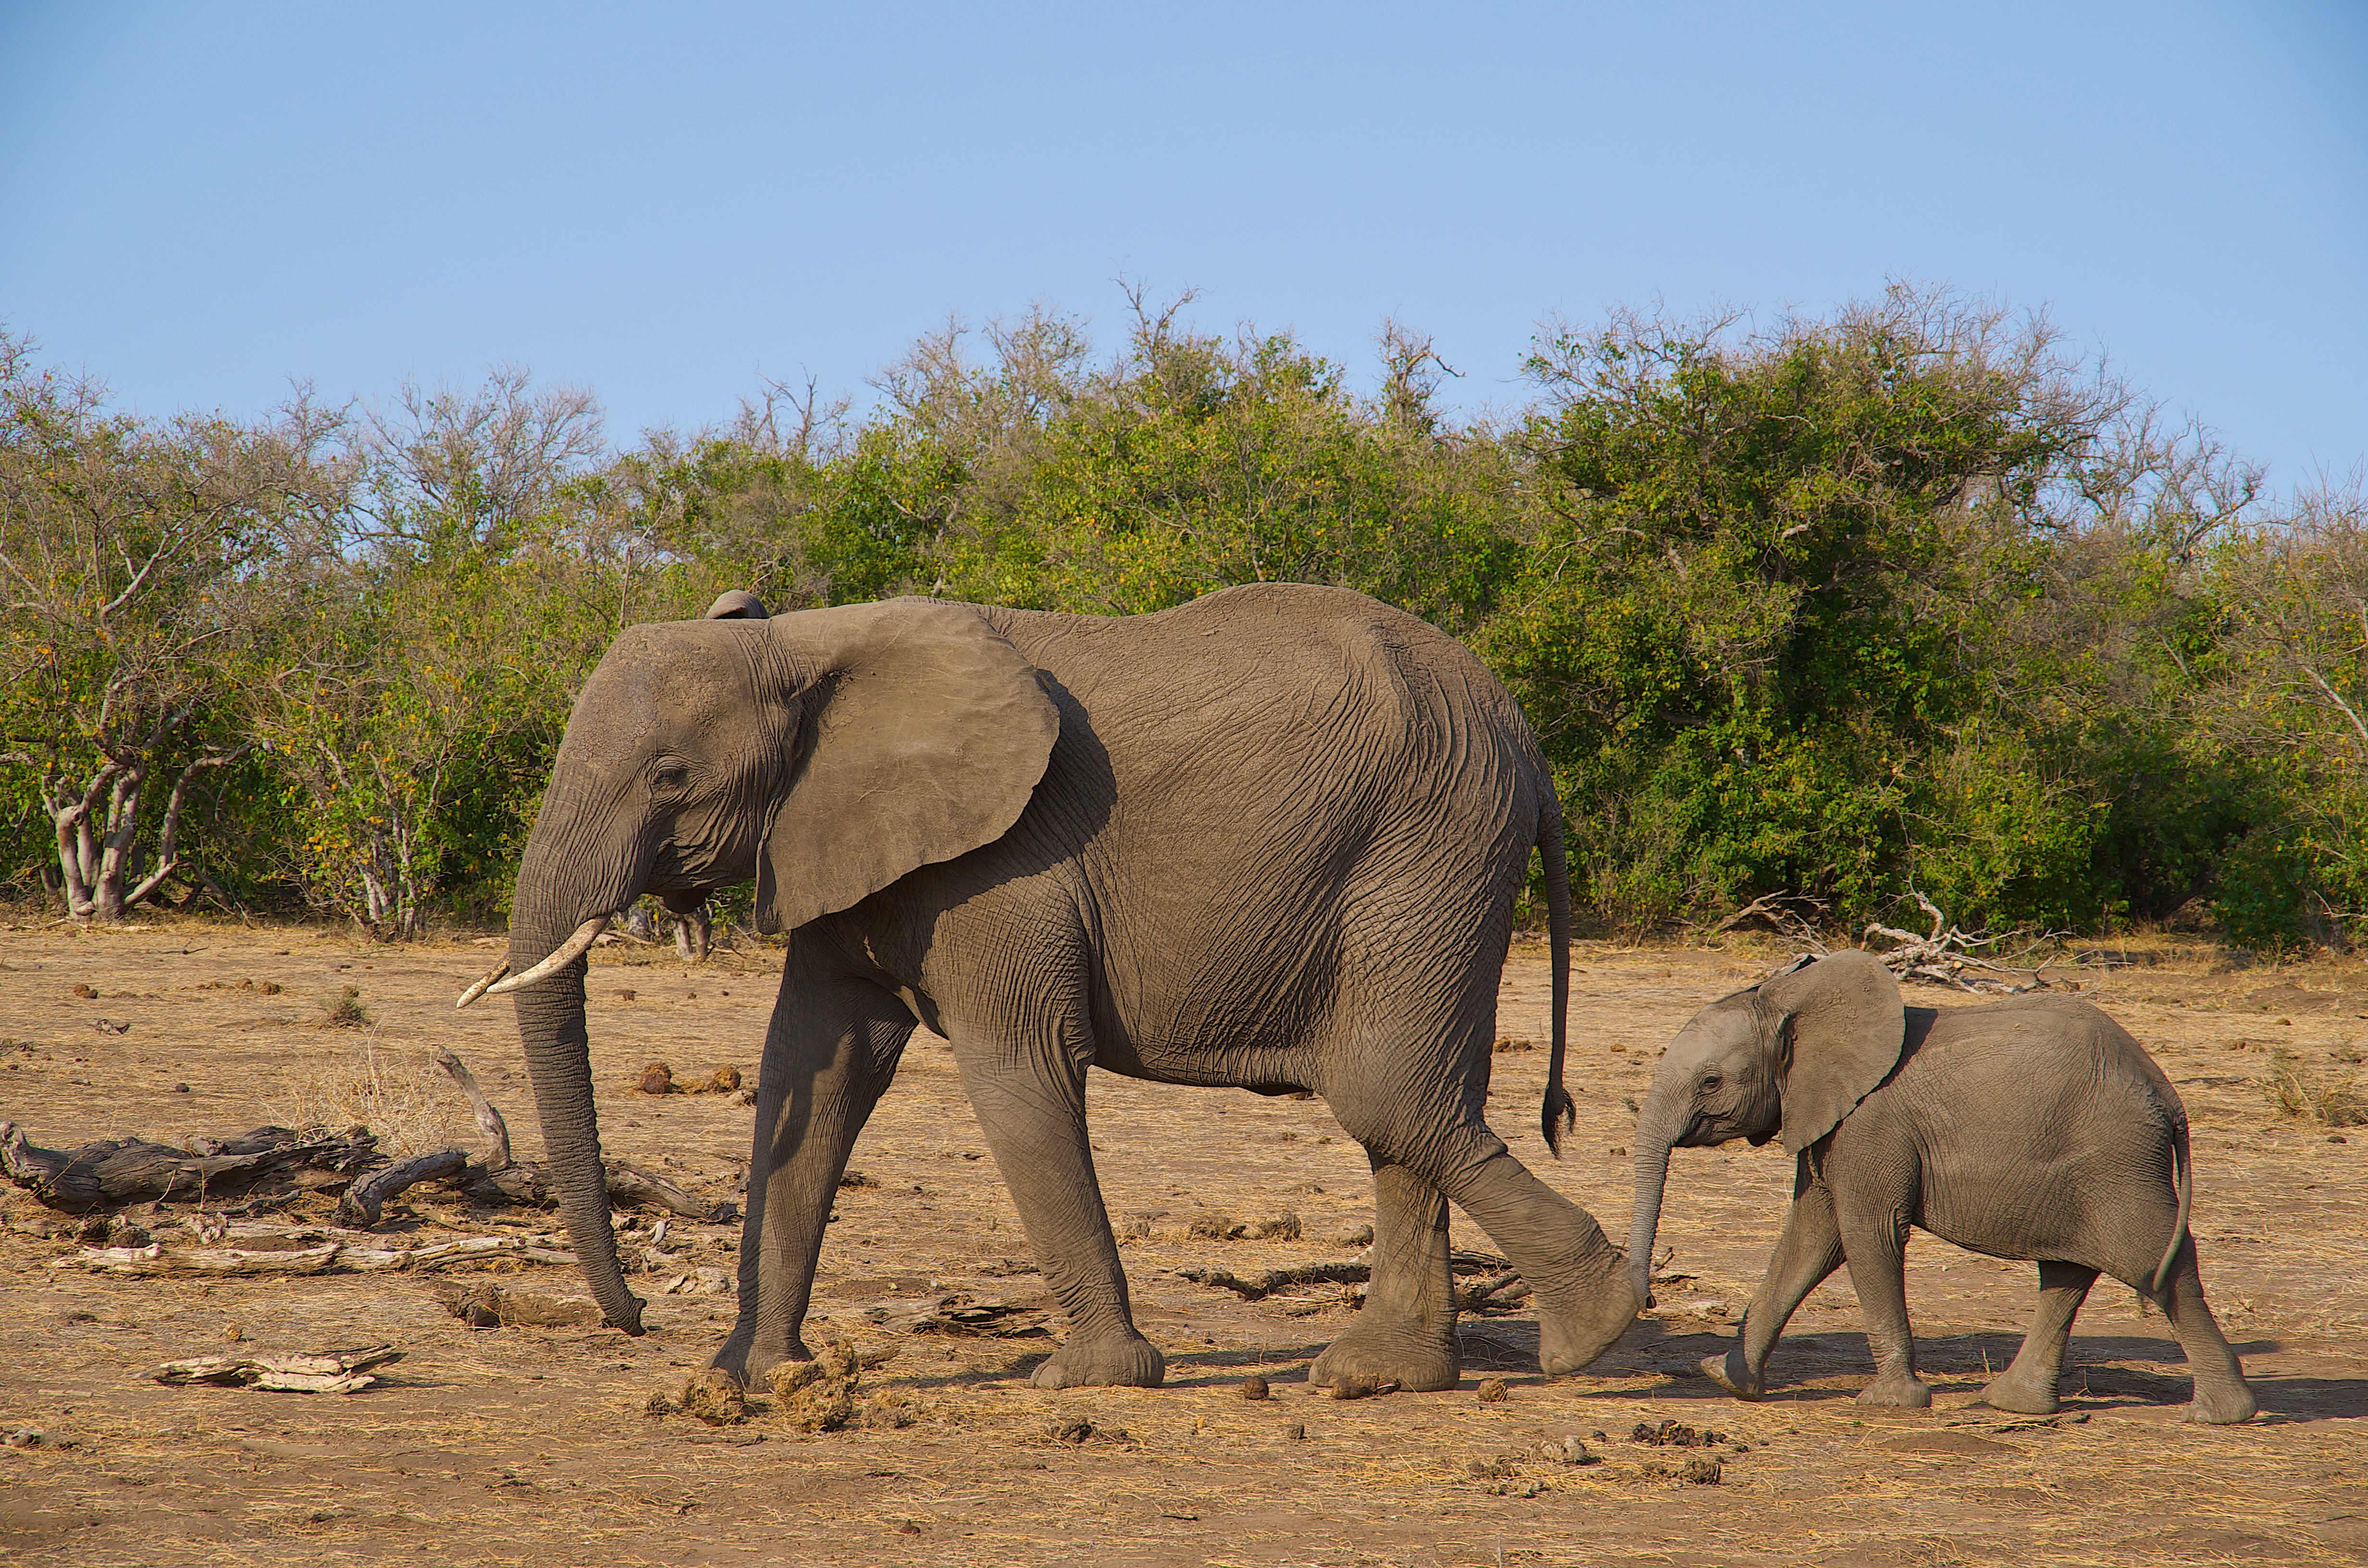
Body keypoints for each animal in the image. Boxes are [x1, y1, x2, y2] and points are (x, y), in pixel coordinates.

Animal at [464, 582, 1648, 1393]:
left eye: (670, 776)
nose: (634, 1319)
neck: (809, 641)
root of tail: (1525, 738)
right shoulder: (840, 845)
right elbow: (815, 1066)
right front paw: (751, 1378)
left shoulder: (1002, 865)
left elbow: (1018, 1067)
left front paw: (1088, 1381)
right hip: (1440, 862)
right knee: (1408, 1106)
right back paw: (1383, 1377)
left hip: (1426, 851)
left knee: (1387, 1095)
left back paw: (1593, 1327)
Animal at [1629, 952, 2254, 1431]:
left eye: (1710, 1083)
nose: (1648, 1300)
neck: (1791, 1000)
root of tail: (2166, 1094)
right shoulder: (1830, 1121)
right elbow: (1810, 1237)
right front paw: (1725, 1377)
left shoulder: (1869, 1125)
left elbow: (1865, 1233)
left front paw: (1888, 1404)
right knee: (2065, 1274)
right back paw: (2012, 1405)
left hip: (2116, 1161)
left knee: (2156, 1262)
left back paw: (2219, 1414)